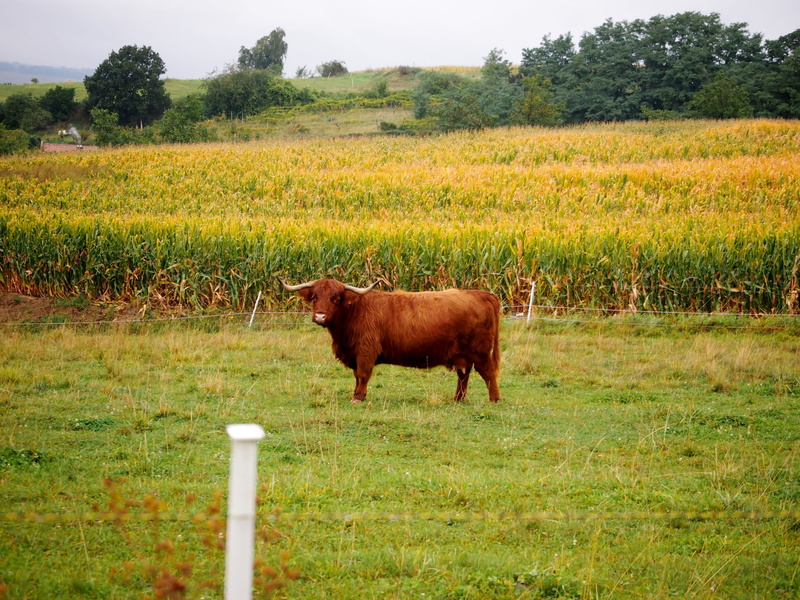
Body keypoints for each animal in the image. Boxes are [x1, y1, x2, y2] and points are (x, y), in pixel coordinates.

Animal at [279, 277, 501, 403]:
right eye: (314, 297)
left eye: (336, 298)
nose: (320, 316)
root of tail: (482, 294)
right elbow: (357, 376)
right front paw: (359, 394)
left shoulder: (366, 351)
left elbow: (363, 374)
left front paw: (357, 398)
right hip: (463, 355)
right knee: (463, 375)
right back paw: (457, 399)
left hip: (479, 352)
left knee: (488, 373)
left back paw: (494, 399)